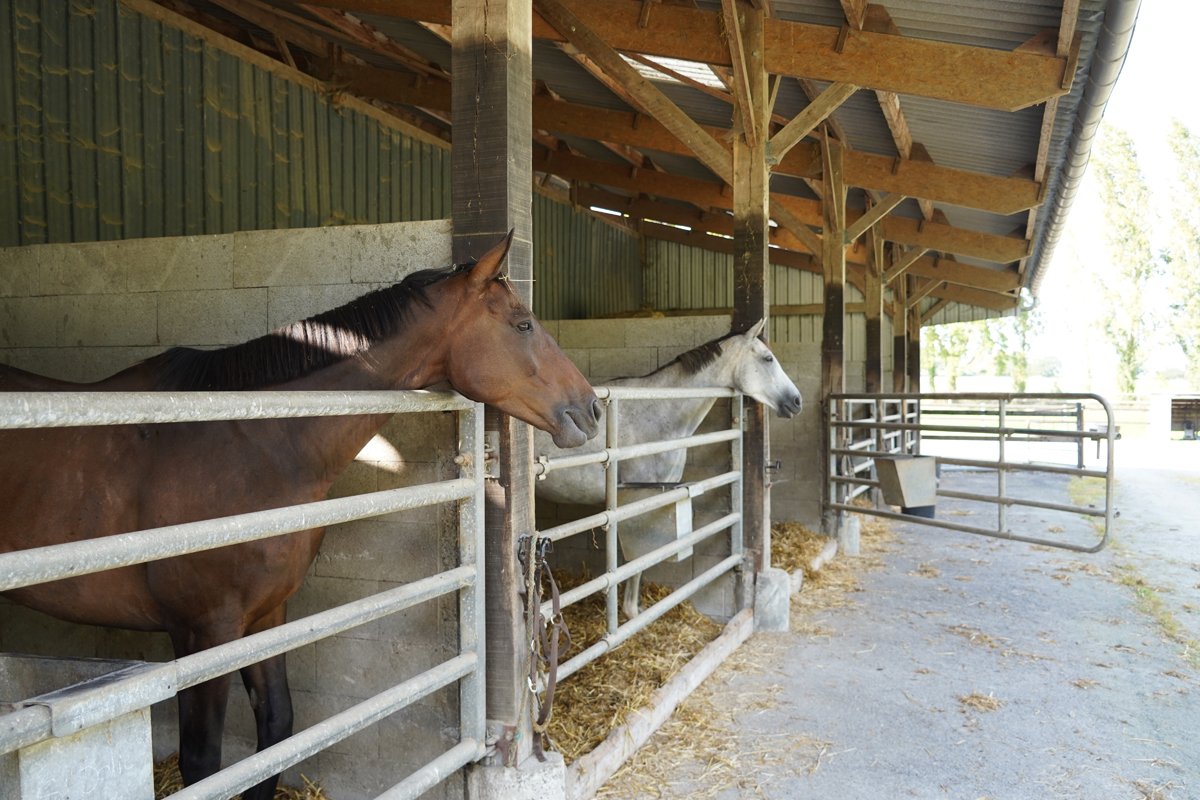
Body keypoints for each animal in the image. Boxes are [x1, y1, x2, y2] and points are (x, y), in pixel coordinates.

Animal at [0, 232, 600, 800]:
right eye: (523, 324)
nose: (592, 408)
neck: (250, 440)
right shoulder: (203, 631)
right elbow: (204, 763)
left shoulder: (267, 616)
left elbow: (276, 731)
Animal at [532, 320, 802, 618]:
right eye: (768, 358)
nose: (796, 401)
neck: (657, 409)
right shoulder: (636, 500)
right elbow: (637, 561)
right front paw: (631, 613)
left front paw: (634, 609)